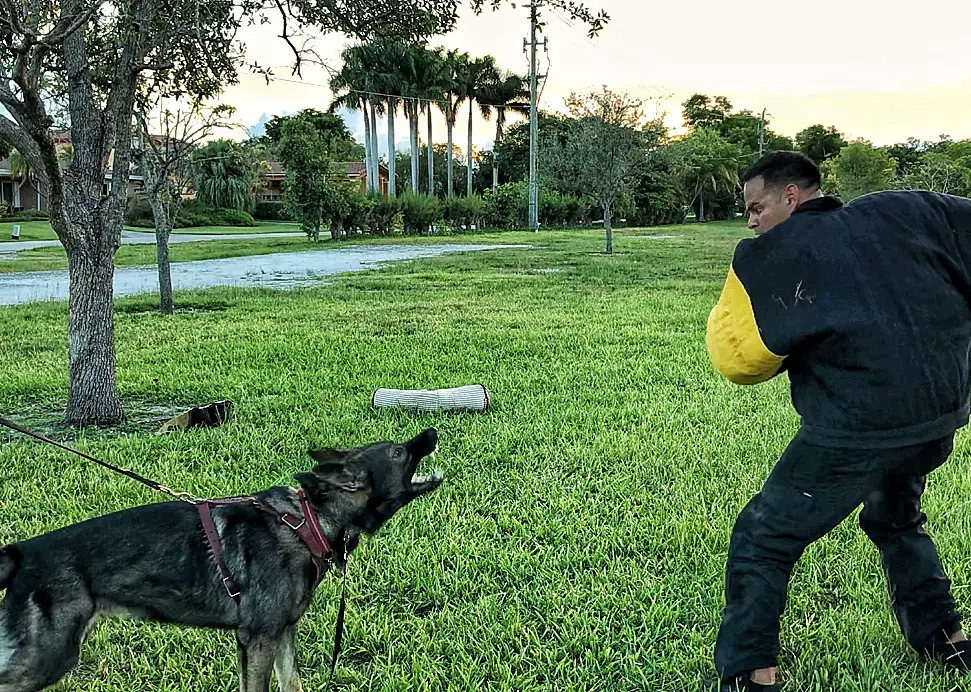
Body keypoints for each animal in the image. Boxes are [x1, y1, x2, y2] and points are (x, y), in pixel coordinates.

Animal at [0, 427, 443, 692]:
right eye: (399, 452)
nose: (432, 432)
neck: (308, 521)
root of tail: (22, 552)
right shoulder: (258, 639)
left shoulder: (283, 634)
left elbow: (293, 684)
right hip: (48, 657)